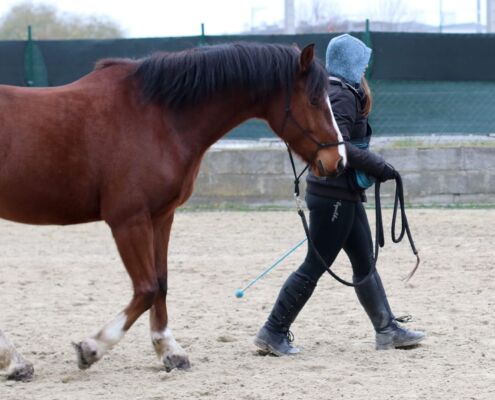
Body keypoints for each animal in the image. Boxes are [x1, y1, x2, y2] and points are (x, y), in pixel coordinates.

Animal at [0, 42, 346, 380]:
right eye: (315, 99)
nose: (338, 162)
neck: (158, 117)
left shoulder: (161, 217)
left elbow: (161, 284)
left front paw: (169, 351)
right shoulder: (128, 221)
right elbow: (147, 289)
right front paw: (91, 348)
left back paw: (14, 362)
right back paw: (15, 362)